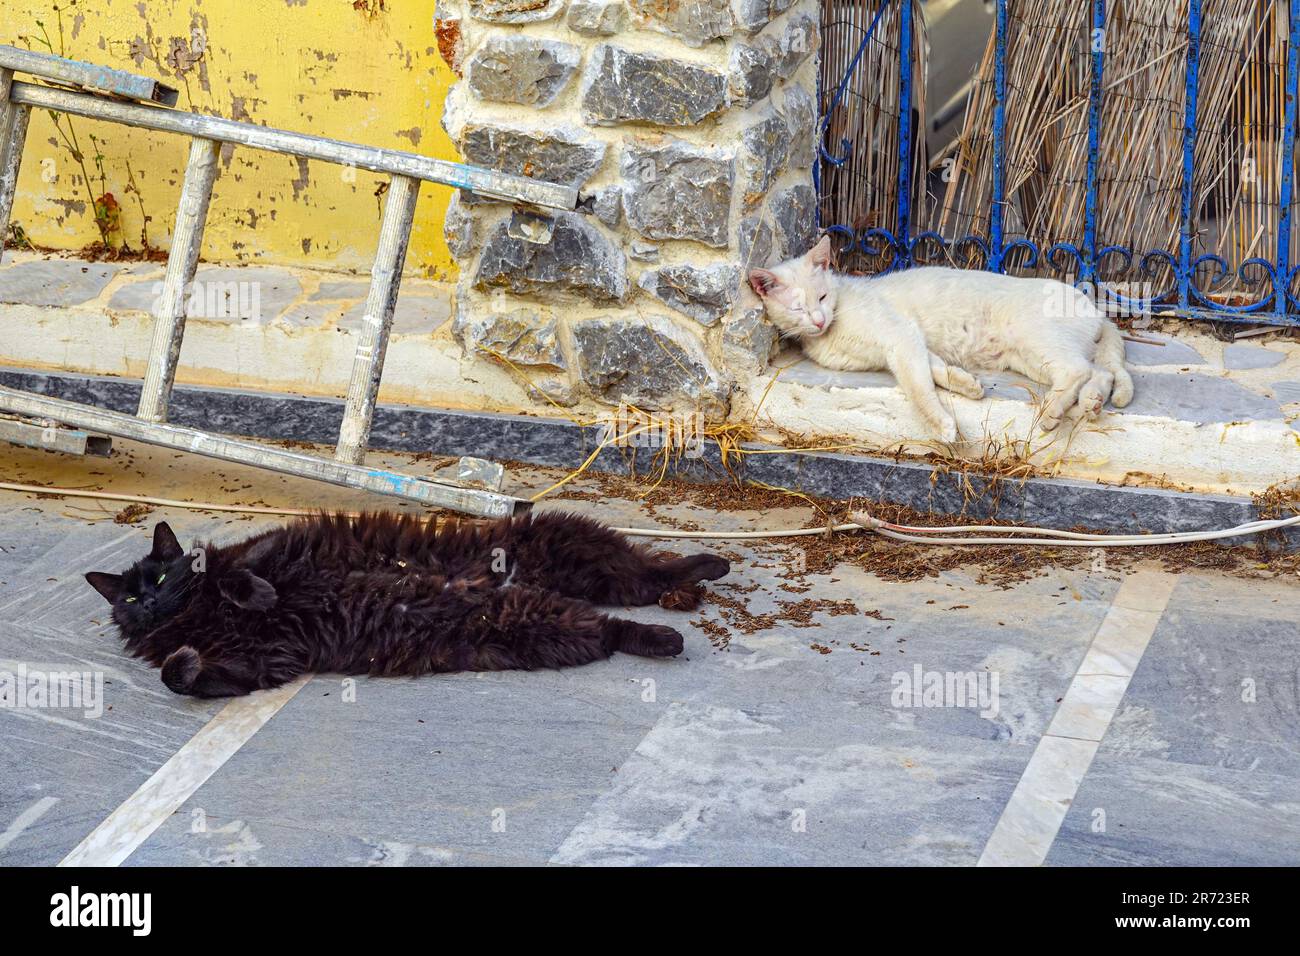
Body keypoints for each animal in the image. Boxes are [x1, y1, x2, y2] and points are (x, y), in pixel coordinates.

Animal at [83, 512, 733, 697]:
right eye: (132, 596)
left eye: (161, 574)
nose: (152, 600)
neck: (192, 616)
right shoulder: (260, 661)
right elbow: (181, 675)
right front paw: (184, 660)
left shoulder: (263, 548)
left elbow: (234, 575)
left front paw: (257, 594)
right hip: (529, 624)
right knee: (615, 622)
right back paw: (668, 631)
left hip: (565, 549)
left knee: (646, 573)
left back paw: (706, 570)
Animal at [748, 238, 1133, 442]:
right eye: (798, 308)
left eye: (823, 297)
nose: (818, 319)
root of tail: (1096, 309)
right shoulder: (909, 345)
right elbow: (935, 370)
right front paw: (967, 385)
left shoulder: (900, 337)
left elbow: (919, 389)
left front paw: (943, 426)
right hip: (1031, 357)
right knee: (1099, 372)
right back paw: (1091, 404)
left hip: (1036, 339)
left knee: (1077, 370)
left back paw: (1053, 411)